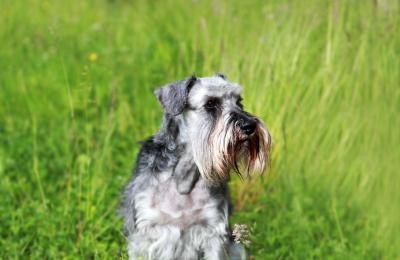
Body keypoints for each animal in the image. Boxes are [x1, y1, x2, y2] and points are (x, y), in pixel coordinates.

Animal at [119, 74, 272, 258]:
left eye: (239, 101)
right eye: (210, 103)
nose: (250, 126)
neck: (184, 178)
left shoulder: (213, 231)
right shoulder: (146, 233)